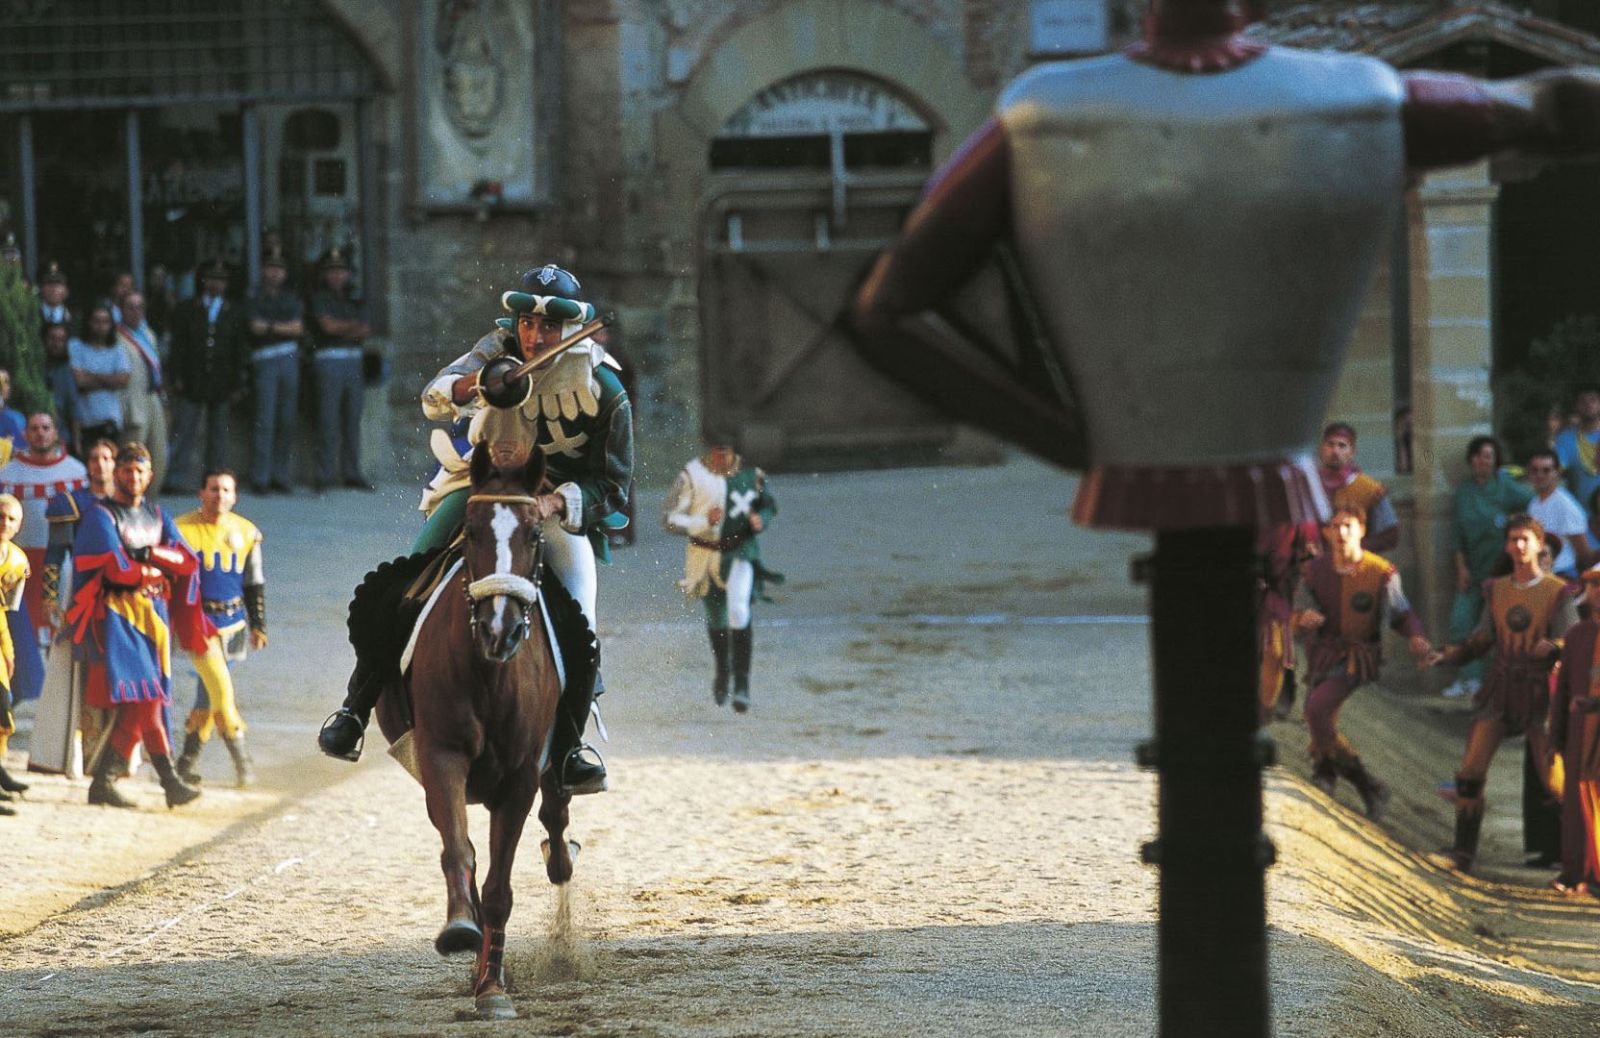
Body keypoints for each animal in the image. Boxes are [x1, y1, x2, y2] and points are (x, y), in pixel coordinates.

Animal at [371, 441, 579, 1017]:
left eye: (534, 535)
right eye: (471, 530)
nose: (498, 629)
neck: (489, 673)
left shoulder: (520, 777)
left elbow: (501, 887)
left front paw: (493, 987)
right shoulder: (442, 756)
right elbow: (459, 850)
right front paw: (461, 929)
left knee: (556, 817)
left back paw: (559, 859)